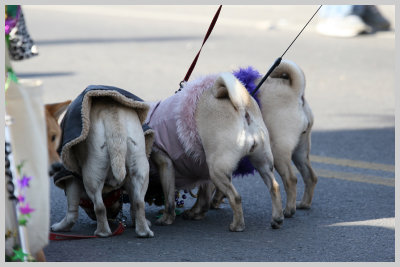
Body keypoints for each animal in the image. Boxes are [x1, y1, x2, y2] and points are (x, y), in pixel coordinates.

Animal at [50, 86, 156, 239]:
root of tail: (112, 116)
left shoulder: (71, 178)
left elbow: (71, 211)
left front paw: (61, 227)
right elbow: (134, 203)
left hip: (92, 174)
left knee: (99, 207)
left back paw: (102, 232)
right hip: (140, 168)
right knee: (139, 202)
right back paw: (143, 231)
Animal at [147, 71, 284, 232]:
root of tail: (242, 108)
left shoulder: (165, 163)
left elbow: (169, 198)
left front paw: (167, 218)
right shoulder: (204, 171)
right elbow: (203, 197)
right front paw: (195, 213)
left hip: (217, 169)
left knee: (235, 197)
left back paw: (237, 225)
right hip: (260, 162)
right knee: (274, 186)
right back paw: (277, 219)